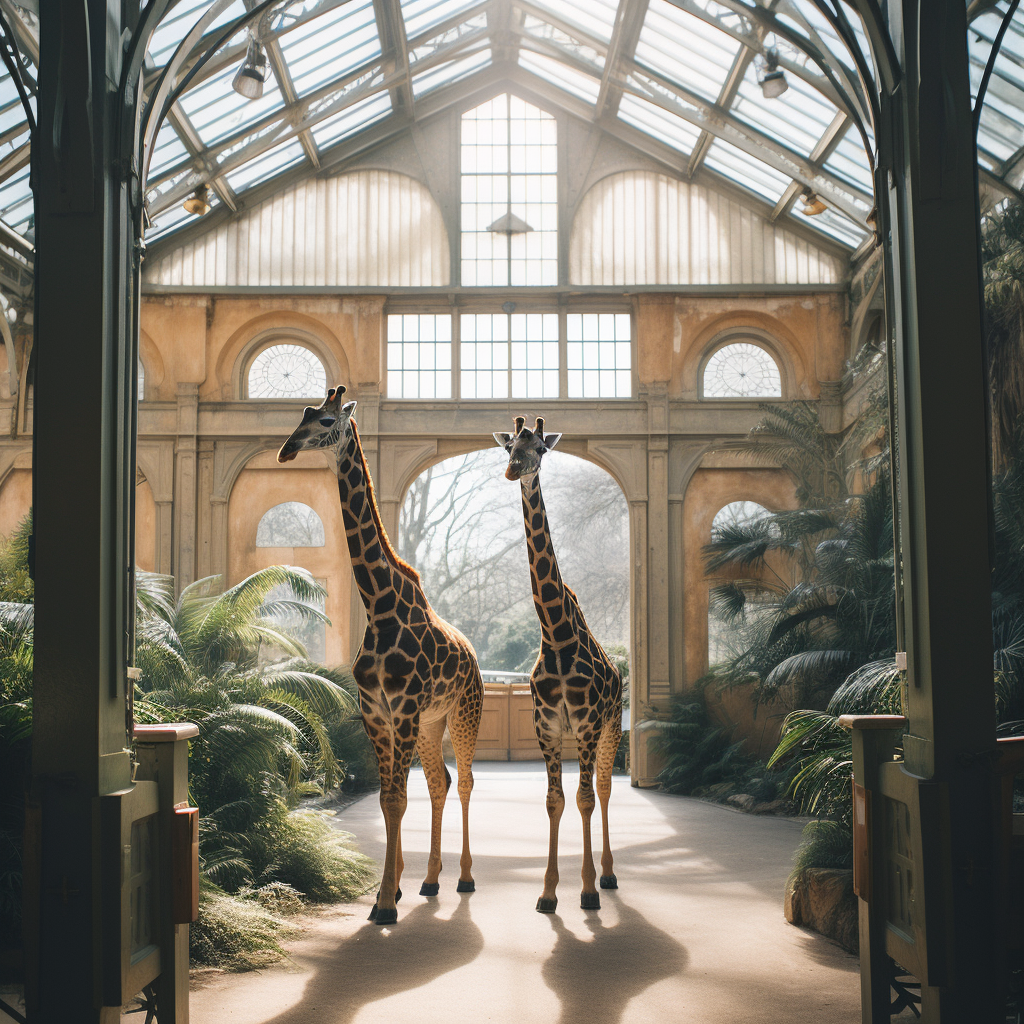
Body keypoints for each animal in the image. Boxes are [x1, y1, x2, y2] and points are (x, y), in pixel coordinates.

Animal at [280, 385, 483, 929]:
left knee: (464, 782)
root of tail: (474, 656)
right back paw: (431, 880)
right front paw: (384, 893)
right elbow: (390, 797)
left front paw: (388, 903)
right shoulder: (376, 711)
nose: (286, 450)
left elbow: (395, 798)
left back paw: (464, 878)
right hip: (432, 723)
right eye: (302, 414)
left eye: (326, 420)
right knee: (439, 782)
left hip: (462, 713)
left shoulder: (404, 708)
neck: (379, 604)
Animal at [489, 415, 618, 913]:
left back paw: (608, 876)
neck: (556, 635)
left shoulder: (586, 725)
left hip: (610, 728)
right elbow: (553, 801)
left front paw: (586, 891)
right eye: (508, 446)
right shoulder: (546, 728)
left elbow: (583, 799)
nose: (513, 471)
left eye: (541, 448)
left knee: (604, 789)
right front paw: (547, 893)